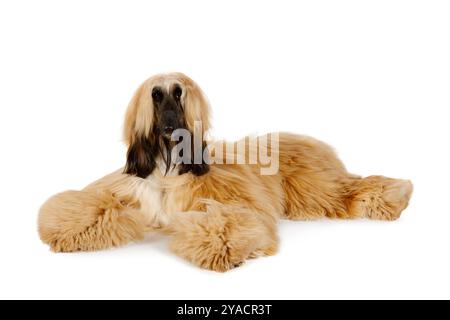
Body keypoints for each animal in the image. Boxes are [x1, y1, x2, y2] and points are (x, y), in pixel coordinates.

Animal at [37, 73, 412, 272]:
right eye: (156, 95)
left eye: (179, 94)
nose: (171, 125)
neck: (168, 165)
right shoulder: (131, 191)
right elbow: (97, 204)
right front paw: (65, 231)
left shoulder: (229, 199)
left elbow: (231, 219)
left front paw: (225, 248)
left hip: (313, 183)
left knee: (347, 188)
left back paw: (395, 194)